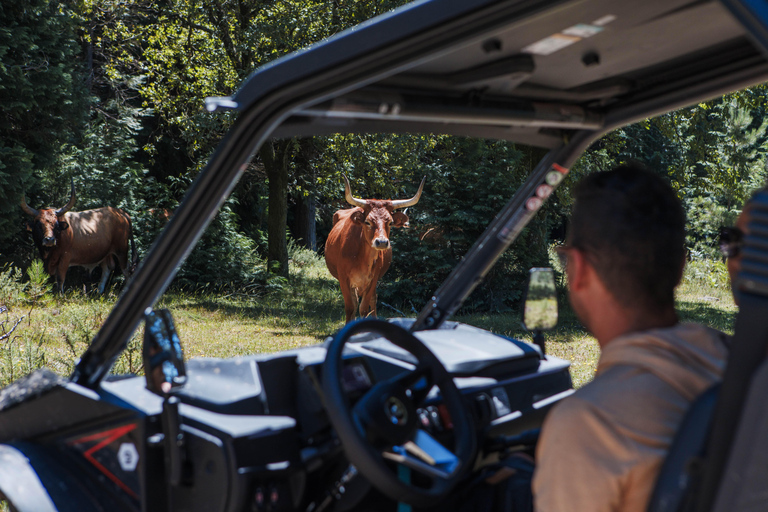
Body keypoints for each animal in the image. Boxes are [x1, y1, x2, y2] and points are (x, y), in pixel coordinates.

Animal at [324, 174, 426, 322]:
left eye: (390, 222)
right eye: (367, 222)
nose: (382, 242)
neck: (362, 258)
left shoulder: (373, 279)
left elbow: (364, 307)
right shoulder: (343, 278)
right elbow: (350, 308)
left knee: (373, 300)